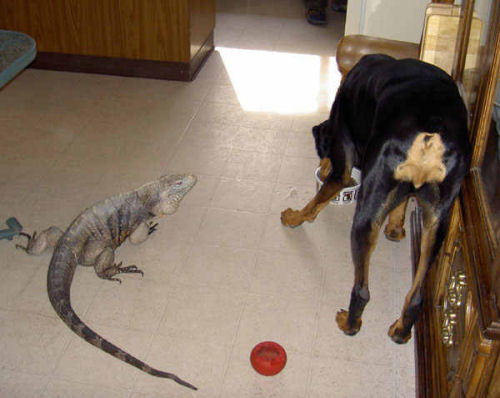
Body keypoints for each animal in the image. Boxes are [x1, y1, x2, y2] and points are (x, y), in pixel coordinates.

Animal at [282, 54, 472, 344]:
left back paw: (350, 323)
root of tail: (429, 137)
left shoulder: (343, 149)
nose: (321, 169)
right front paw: (395, 229)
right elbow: (401, 202)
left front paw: (295, 217)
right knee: (416, 295)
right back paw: (401, 331)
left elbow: (321, 195)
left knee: (362, 290)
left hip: (367, 212)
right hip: (439, 218)